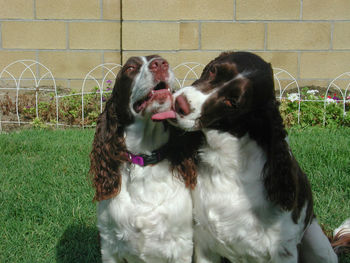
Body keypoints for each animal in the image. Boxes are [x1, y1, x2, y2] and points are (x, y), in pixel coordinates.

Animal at [89, 55, 201, 263]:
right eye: (130, 67)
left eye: (161, 61)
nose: (160, 63)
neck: (145, 159)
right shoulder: (109, 244)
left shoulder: (182, 244)